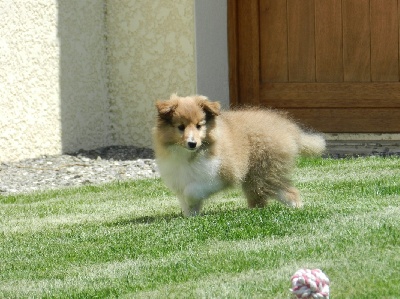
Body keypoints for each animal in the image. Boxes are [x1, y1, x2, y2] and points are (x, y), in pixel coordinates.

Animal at [152, 94, 324, 216]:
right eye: (180, 127)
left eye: (199, 125)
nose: (192, 143)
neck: (188, 156)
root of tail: (289, 129)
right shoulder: (179, 181)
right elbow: (186, 201)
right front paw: (190, 217)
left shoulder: (220, 175)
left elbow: (191, 192)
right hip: (257, 178)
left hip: (262, 174)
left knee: (287, 192)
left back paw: (297, 208)